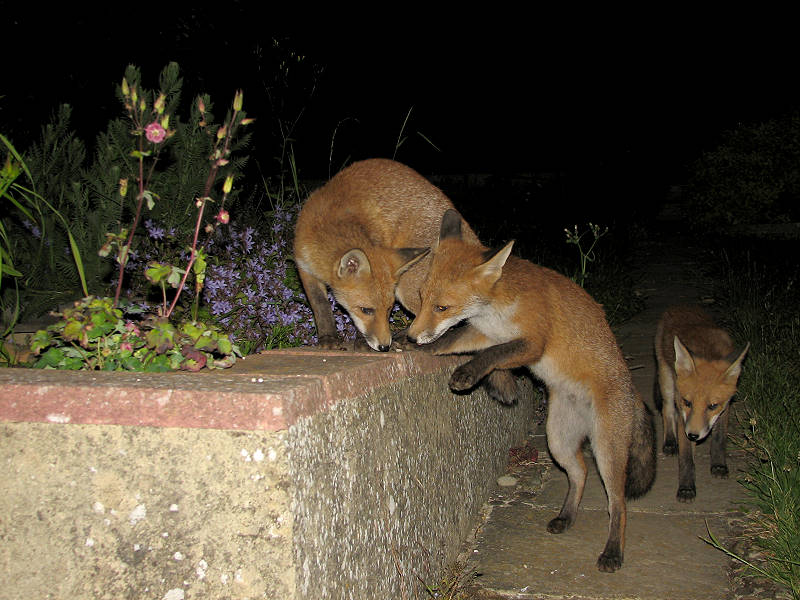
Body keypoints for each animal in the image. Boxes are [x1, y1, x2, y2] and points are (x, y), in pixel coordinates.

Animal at [407, 209, 656, 573]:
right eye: (422, 296)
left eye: (442, 307)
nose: (411, 335)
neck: (496, 310)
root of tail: (633, 390)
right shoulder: (483, 333)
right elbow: (451, 342)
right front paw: (411, 347)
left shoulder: (532, 343)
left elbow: (491, 356)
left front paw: (467, 373)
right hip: (558, 440)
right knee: (580, 472)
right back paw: (566, 517)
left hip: (607, 451)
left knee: (618, 504)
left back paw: (612, 552)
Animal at [655, 305, 749, 502]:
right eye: (687, 402)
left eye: (712, 406)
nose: (693, 435)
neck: (708, 352)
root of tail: (679, 307)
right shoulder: (683, 414)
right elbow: (686, 458)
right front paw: (686, 488)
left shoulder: (725, 407)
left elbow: (719, 439)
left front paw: (719, 465)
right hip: (667, 380)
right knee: (667, 411)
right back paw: (670, 442)